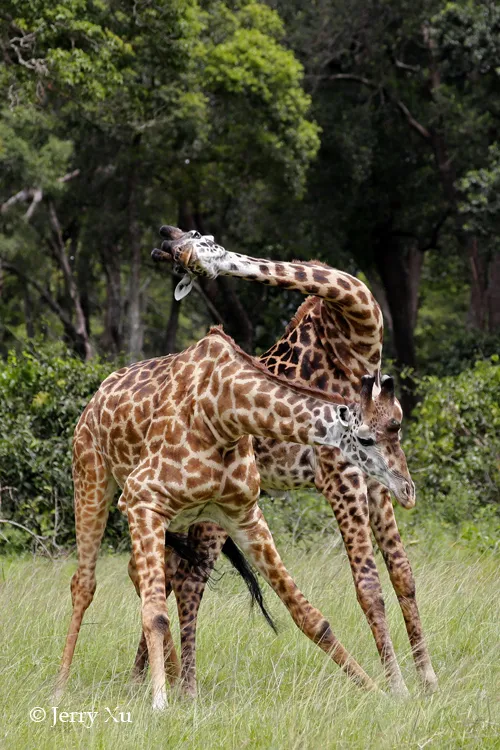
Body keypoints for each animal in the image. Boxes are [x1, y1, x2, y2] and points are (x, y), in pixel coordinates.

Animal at [53, 328, 414, 712]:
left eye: (397, 429)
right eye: (366, 438)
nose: (406, 490)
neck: (224, 410)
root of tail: (95, 398)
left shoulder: (243, 514)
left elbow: (311, 618)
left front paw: (380, 692)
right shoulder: (142, 497)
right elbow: (155, 615)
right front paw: (159, 703)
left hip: (174, 519)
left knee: (148, 576)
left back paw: (175, 680)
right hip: (91, 479)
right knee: (85, 583)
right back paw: (61, 688)